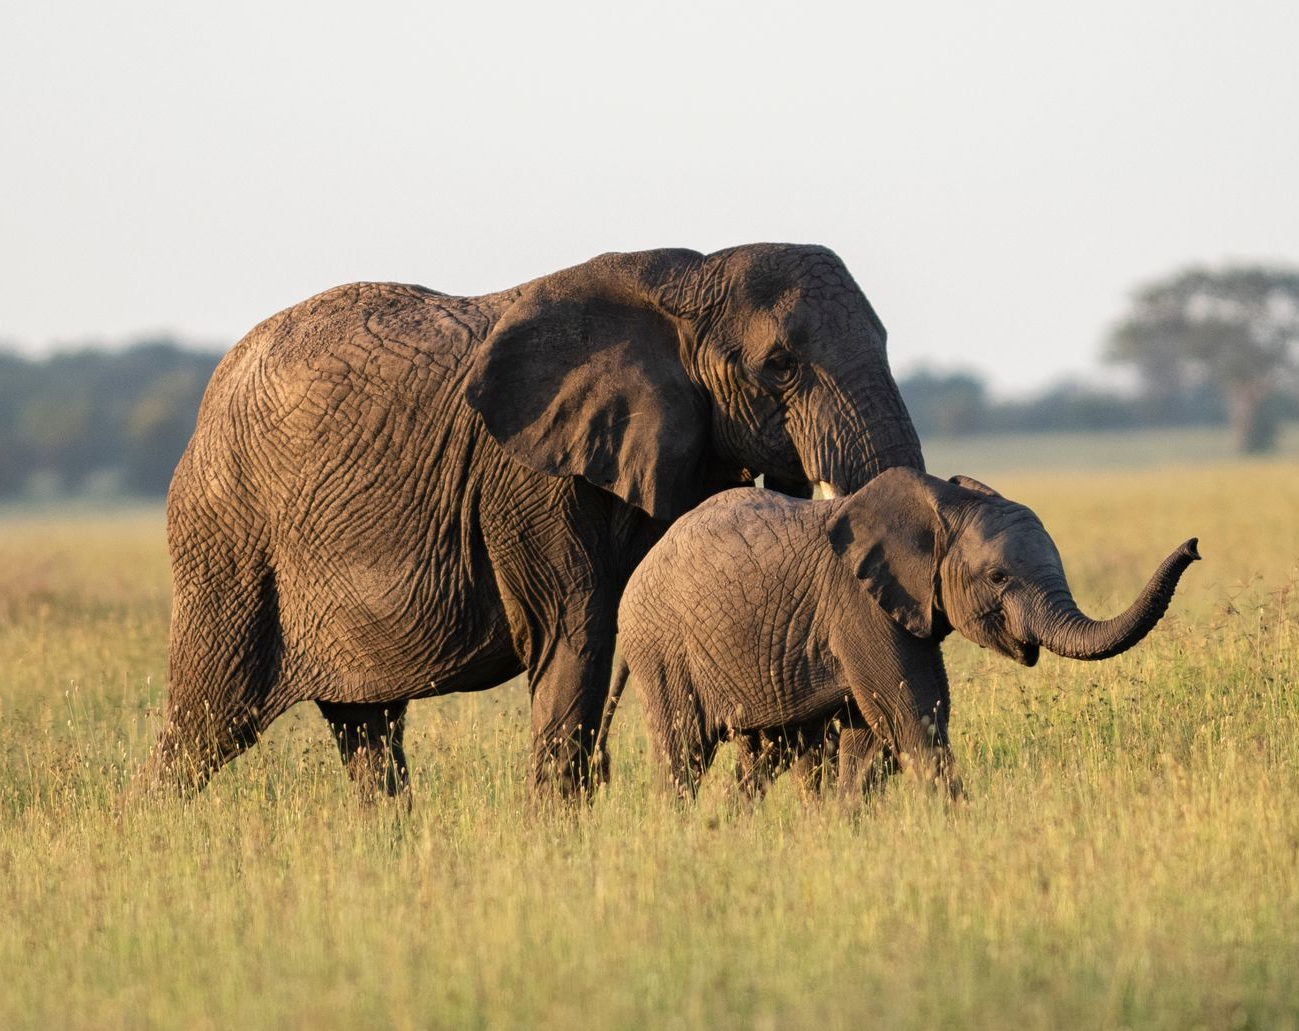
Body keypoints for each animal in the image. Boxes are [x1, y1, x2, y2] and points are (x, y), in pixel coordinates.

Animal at [145, 244, 926, 799]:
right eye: (779, 365)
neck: (685, 284)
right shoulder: (527, 478)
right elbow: (574, 629)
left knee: (366, 732)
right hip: (227, 542)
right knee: (205, 725)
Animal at [609, 467, 1201, 799]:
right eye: (998, 577)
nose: (1195, 546)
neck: (941, 508)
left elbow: (877, 740)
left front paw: (843, 829)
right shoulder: (859, 605)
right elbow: (912, 717)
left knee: (767, 755)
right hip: (660, 648)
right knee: (682, 754)